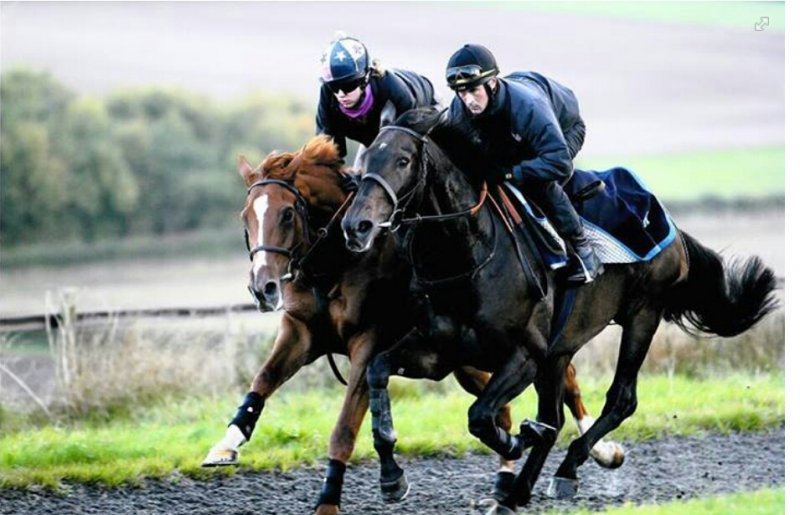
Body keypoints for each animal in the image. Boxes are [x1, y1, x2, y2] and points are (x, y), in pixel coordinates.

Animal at [201, 136, 622, 514]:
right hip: (465, 362)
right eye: (245, 217)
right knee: (505, 404)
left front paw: (329, 502)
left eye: (287, 213)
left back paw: (600, 453)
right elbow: (262, 381)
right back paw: (509, 478)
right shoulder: (301, 331)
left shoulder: (368, 342)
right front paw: (227, 443)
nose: (263, 288)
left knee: (563, 381)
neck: (338, 262)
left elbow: (344, 429)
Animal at [340, 107, 777, 514]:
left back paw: (564, 470)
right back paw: (519, 491)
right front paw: (391, 475)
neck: (468, 255)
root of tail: (671, 225)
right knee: (557, 416)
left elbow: (482, 416)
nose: (356, 226)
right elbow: (378, 369)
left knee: (620, 399)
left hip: (642, 315)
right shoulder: (441, 351)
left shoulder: (524, 354)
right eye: (364, 160)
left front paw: (518, 439)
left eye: (402, 160)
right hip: (561, 350)